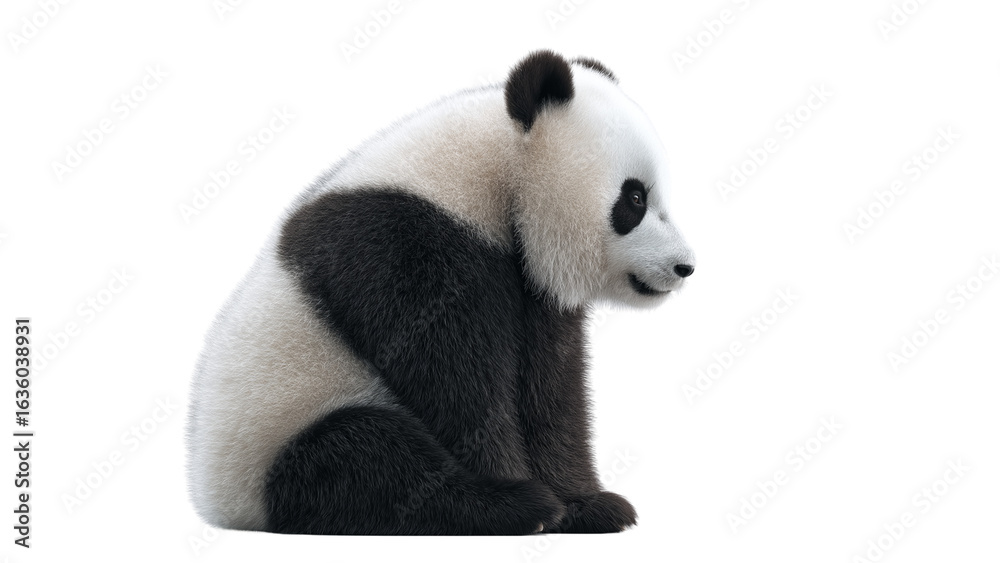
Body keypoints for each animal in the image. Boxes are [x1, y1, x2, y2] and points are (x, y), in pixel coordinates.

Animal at [186, 50, 694, 536]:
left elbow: (549, 387)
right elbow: (454, 378)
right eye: (634, 199)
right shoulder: (406, 244)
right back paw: (506, 508)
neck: (492, 170)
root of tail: (221, 505)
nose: (684, 266)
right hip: (275, 437)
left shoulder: (529, 283)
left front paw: (587, 505)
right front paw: (529, 494)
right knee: (368, 458)